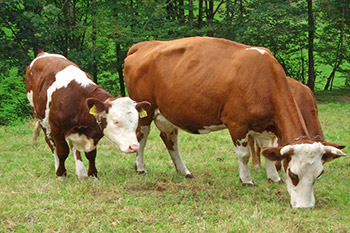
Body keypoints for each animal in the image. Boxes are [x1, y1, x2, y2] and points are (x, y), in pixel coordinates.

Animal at [123, 36, 348, 209]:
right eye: (293, 174)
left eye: (319, 174)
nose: (305, 207)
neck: (263, 77)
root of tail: (144, 45)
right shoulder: (237, 124)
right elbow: (245, 155)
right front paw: (247, 180)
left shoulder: (265, 127)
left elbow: (266, 151)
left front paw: (273, 177)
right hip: (145, 111)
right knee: (141, 137)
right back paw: (140, 167)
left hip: (168, 113)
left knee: (170, 140)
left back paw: (184, 171)